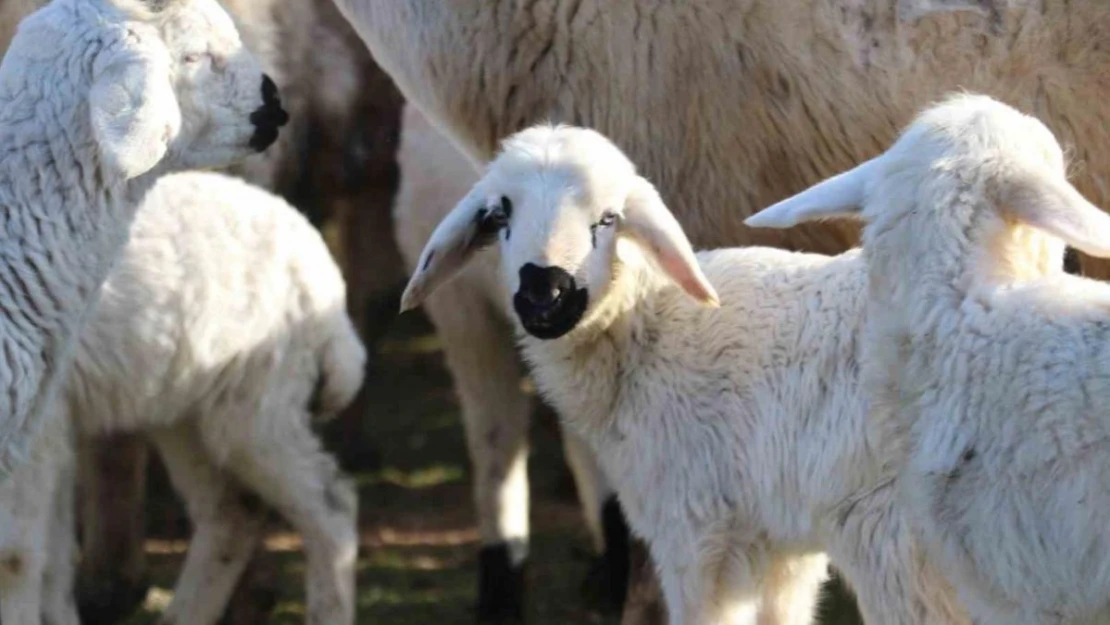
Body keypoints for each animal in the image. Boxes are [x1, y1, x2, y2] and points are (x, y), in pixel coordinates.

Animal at [0, 169, 368, 625]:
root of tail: (323, 268)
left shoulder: (37, 430)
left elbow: (15, 557)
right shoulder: (52, 428)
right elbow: (51, 557)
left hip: (256, 405)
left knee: (331, 506)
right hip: (183, 413)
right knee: (233, 512)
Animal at [401, 123, 981, 625]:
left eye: (607, 218)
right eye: (499, 215)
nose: (544, 294)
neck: (649, 328)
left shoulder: (696, 529)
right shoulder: (779, 544)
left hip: (898, 542)